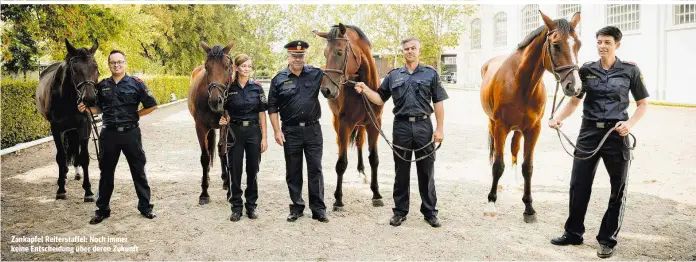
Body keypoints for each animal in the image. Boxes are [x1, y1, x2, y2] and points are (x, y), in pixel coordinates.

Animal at [36, 39, 100, 202]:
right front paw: (61, 189)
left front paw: (88, 191)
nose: (89, 99)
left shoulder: (84, 126)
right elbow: (60, 156)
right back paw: (64, 174)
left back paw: (76, 172)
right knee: (64, 152)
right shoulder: (56, 128)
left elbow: (84, 157)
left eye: (96, 67)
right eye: (75, 70)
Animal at [188, 40, 237, 205]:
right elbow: (204, 157)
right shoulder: (200, 127)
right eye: (207, 66)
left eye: (227, 66)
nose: (216, 101)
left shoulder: (224, 125)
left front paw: (229, 187)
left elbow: (223, 151)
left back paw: (224, 180)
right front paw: (204, 193)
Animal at [316, 22, 386, 211]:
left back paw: (362, 172)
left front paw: (376, 194)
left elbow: (374, 159)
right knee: (343, 145)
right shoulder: (344, 124)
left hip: (361, 125)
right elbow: (341, 163)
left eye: (339, 52)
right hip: (338, 123)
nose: (326, 90)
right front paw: (338, 200)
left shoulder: (374, 124)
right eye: (325, 53)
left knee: (360, 143)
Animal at [478, 10, 580, 223]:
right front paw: (491, 203)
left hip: (518, 130)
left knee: (514, 150)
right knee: (499, 154)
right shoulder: (500, 126)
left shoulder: (533, 129)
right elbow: (498, 165)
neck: (520, 82)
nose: (575, 87)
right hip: (493, 124)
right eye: (556, 45)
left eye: (578, 44)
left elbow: (528, 167)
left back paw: (514, 183)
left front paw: (529, 208)